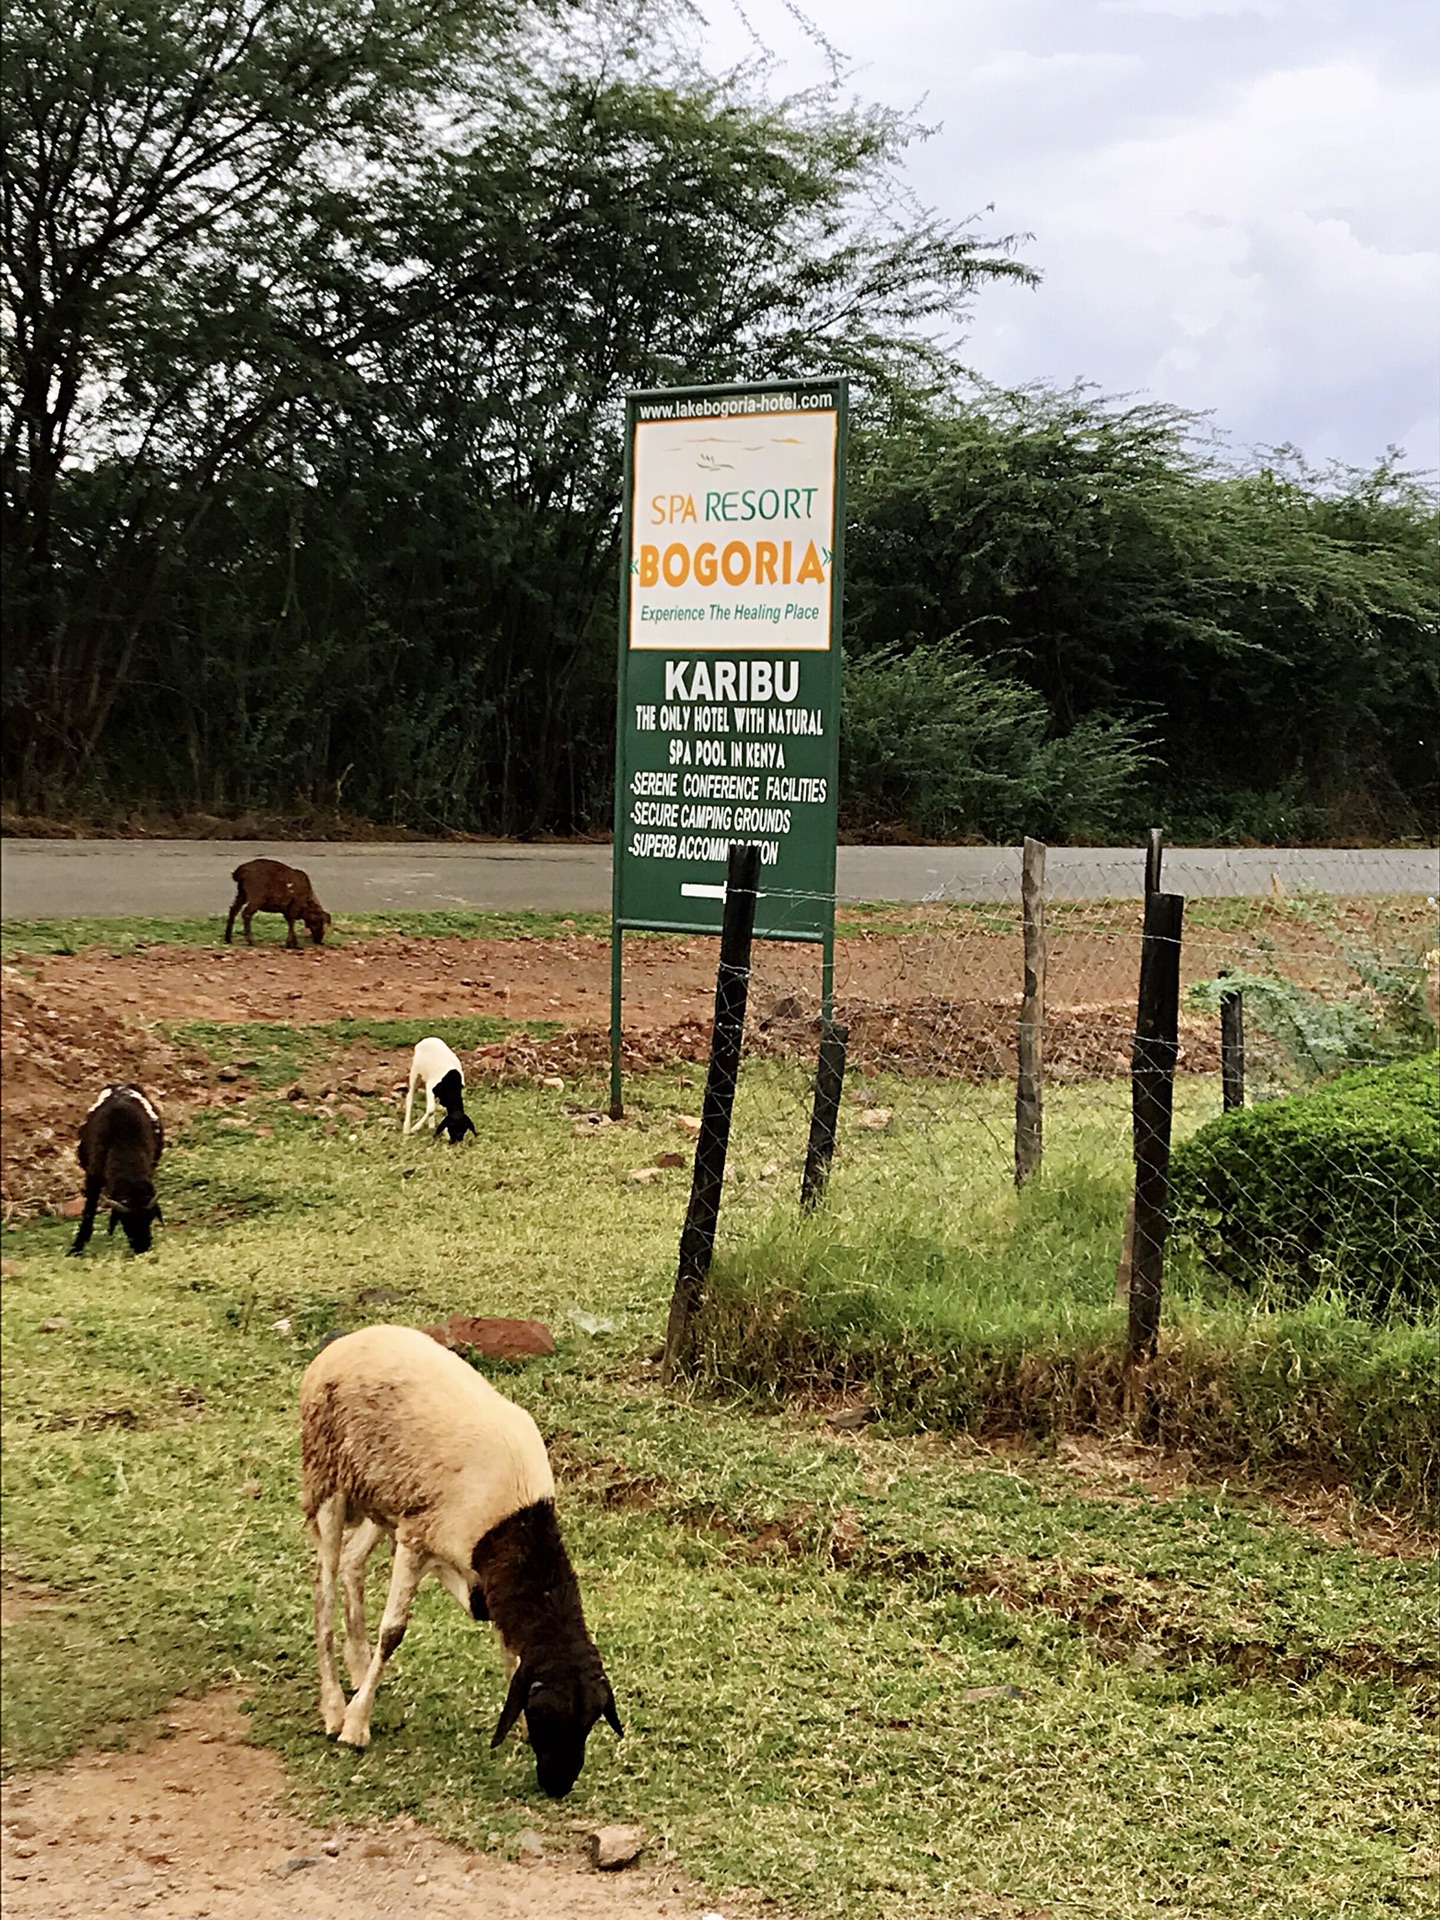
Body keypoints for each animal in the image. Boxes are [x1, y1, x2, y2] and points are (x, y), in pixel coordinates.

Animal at [67, 1090, 165, 1251]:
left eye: (150, 1218)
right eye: (125, 1221)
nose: (142, 1247)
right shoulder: (93, 1178)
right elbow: (89, 1211)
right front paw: (77, 1247)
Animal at [299, 1320, 622, 1797]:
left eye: (590, 1721)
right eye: (546, 1715)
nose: (558, 1785)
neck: (517, 1519)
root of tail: (349, 1340)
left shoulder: (457, 1555)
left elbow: (496, 1625)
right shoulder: (417, 1540)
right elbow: (393, 1632)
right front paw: (357, 1726)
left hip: (382, 1498)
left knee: (353, 1563)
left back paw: (357, 1672)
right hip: (327, 1477)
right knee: (323, 1588)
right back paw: (336, 1707)